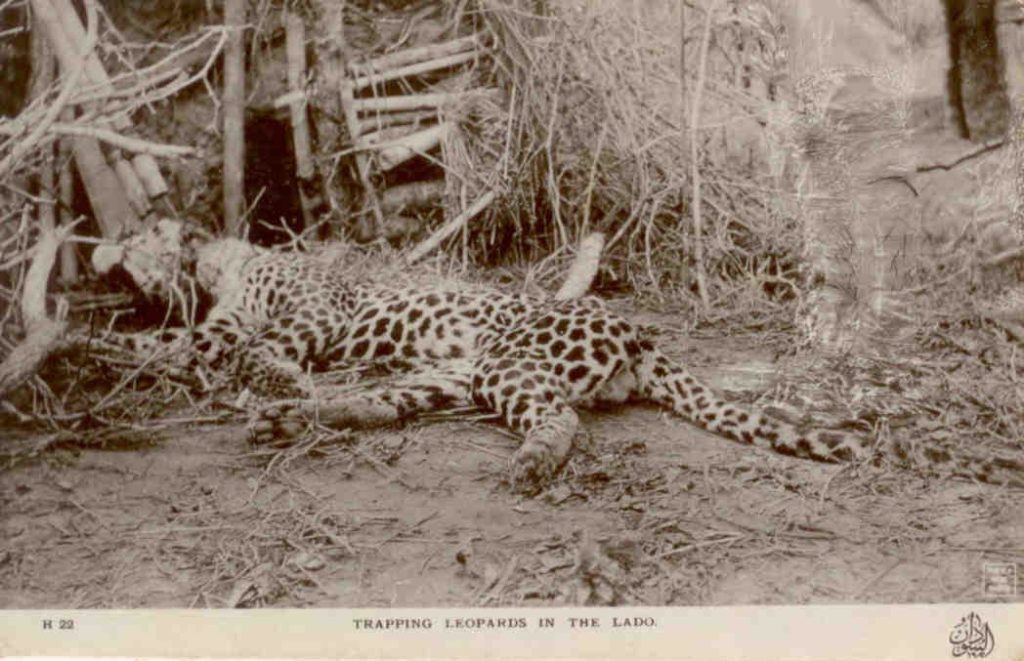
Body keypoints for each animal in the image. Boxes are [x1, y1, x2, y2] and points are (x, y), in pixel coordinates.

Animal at [90, 238, 1024, 487]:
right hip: (457, 375)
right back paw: (287, 417)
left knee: (559, 415)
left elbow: (240, 343)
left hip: (506, 365)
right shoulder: (239, 319)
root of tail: (643, 336)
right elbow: (198, 343)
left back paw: (535, 463)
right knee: (383, 403)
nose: (131, 273)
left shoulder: (303, 312)